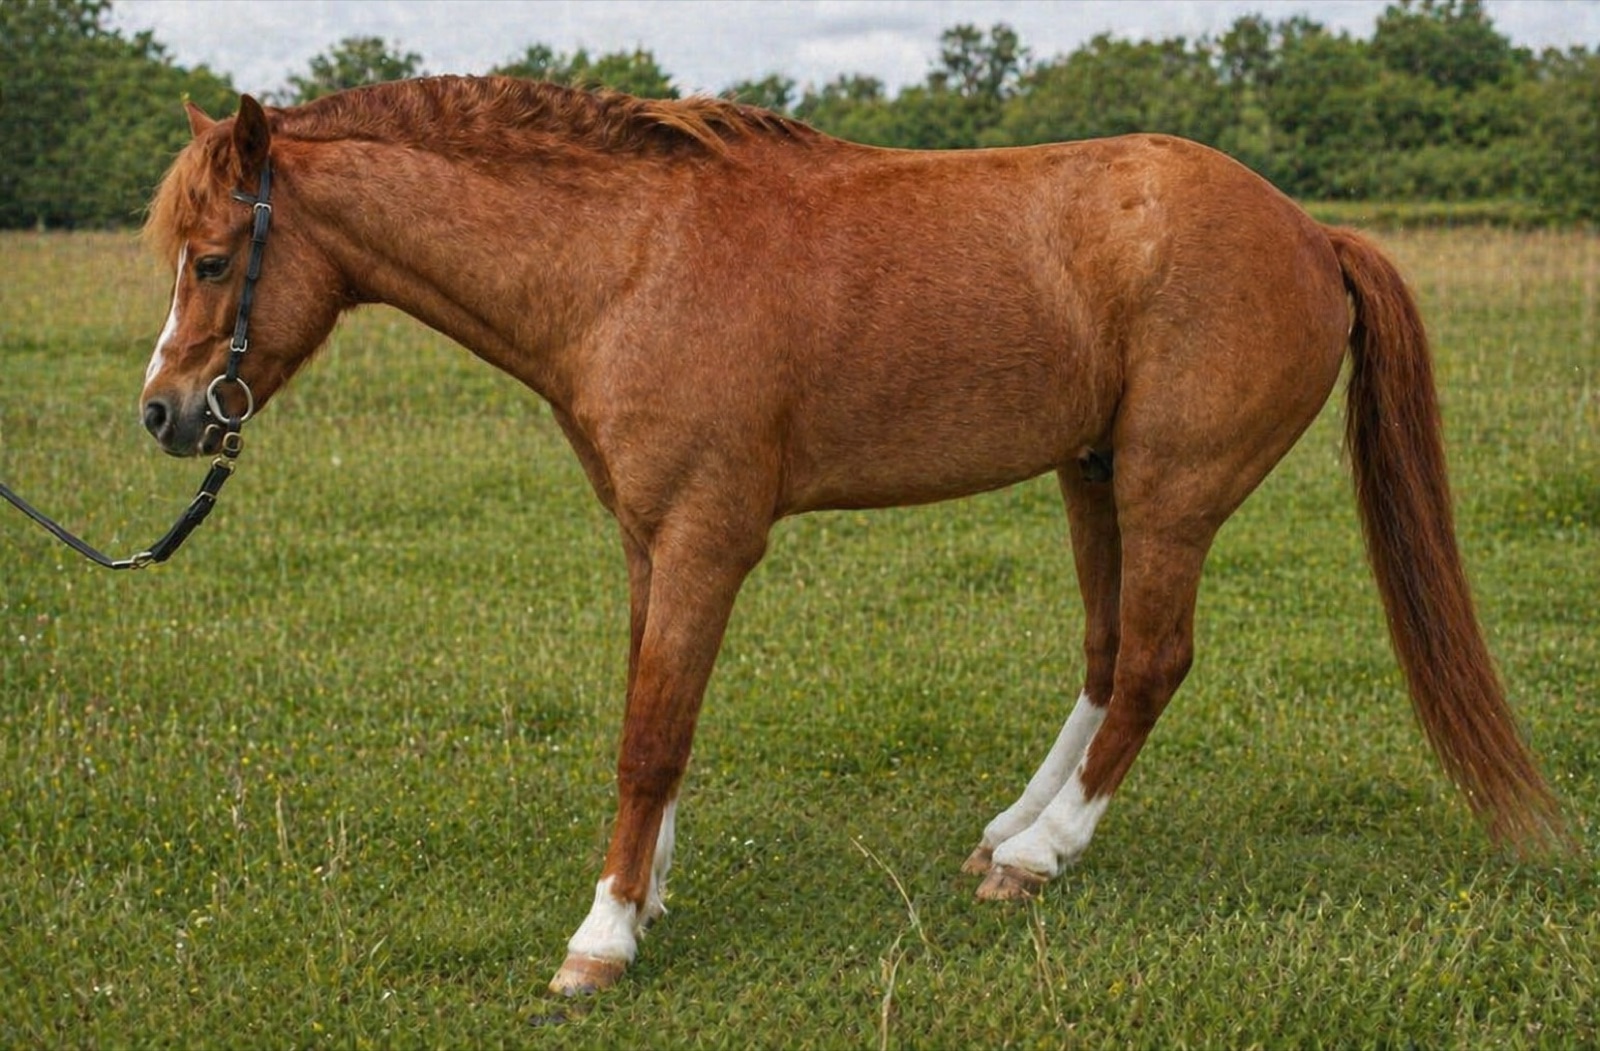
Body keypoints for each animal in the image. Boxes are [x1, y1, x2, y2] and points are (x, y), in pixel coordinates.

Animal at [138, 76, 1566, 995]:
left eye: (210, 260)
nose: (164, 412)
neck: (630, 259)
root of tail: (1308, 231)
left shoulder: (704, 541)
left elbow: (651, 735)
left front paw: (604, 936)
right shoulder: (649, 543)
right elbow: (654, 712)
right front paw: (648, 891)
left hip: (1170, 492)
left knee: (1154, 665)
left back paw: (1039, 856)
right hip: (1093, 478)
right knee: (1108, 661)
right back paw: (1010, 830)